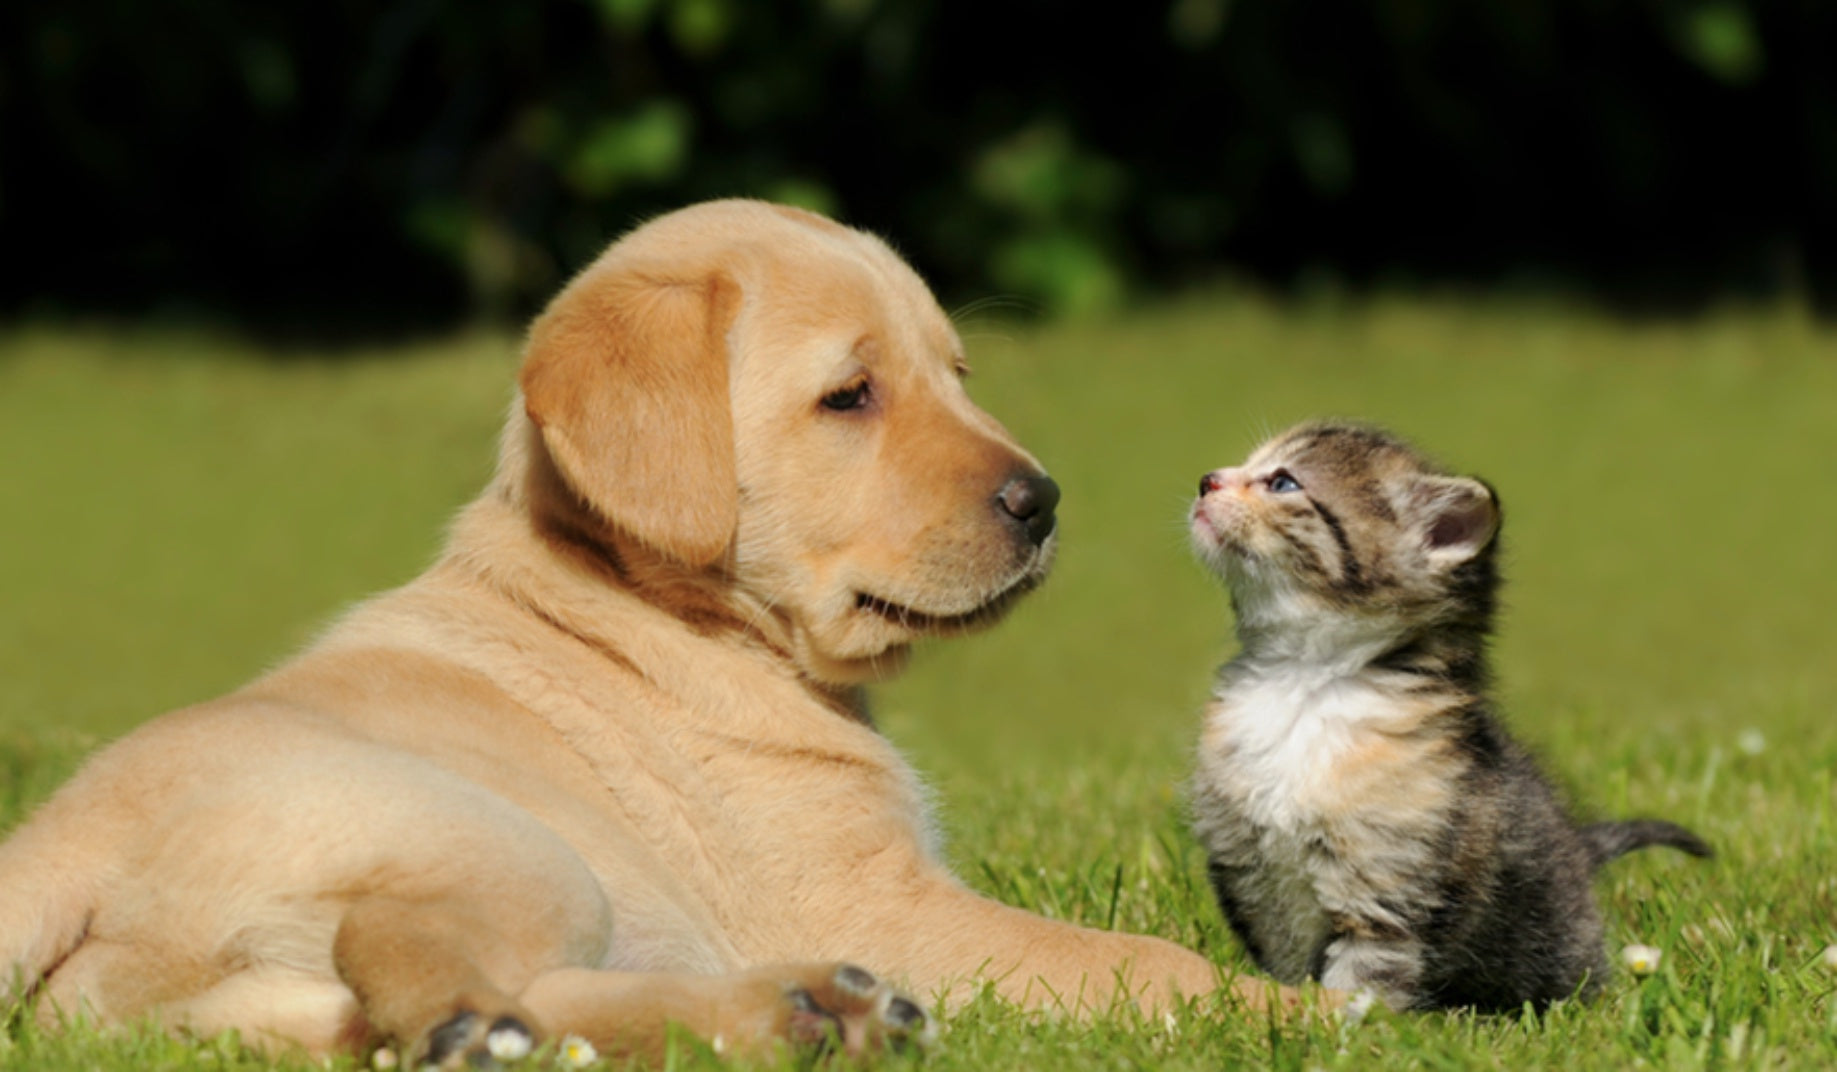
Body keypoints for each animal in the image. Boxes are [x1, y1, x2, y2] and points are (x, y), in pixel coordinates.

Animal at [0, 201, 1278, 1064]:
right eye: (850, 396)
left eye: (954, 374)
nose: (1044, 501)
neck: (661, 612)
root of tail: (60, 832)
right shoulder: (872, 902)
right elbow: (1142, 962)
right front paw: (1288, 1008)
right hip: (508, 842)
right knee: (402, 948)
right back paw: (500, 1025)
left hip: (224, 1008)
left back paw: (800, 1014)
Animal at [1190, 420, 1704, 1013]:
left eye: (1282, 482)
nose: (1206, 480)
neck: (1302, 685)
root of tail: (1579, 847)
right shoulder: (1261, 889)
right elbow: (1289, 972)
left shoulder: (1389, 897)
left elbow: (1359, 986)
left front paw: (1338, 1030)